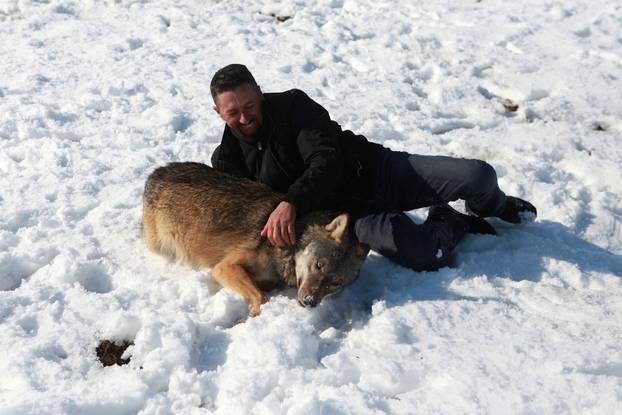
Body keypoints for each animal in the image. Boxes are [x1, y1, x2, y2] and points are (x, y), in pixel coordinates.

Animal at [143, 162, 370, 316]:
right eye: (319, 265)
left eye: (335, 283)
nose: (309, 302)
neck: (288, 244)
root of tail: (157, 171)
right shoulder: (223, 267)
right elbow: (261, 296)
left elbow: (263, 287)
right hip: (161, 245)